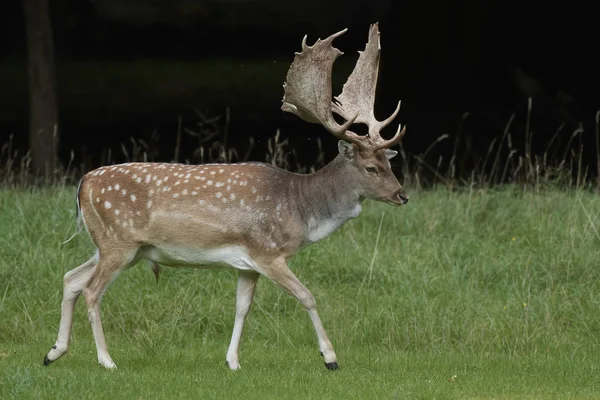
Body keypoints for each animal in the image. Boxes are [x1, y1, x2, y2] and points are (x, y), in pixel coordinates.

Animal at [42, 21, 408, 372]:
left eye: (389, 163)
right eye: (371, 168)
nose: (402, 195)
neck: (298, 207)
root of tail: (84, 182)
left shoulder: (248, 264)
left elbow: (242, 307)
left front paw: (232, 361)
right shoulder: (268, 252)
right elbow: (307, 296)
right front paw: (330, 357)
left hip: (117, 247)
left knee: (71, 278)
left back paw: (53, 352)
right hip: (118, 243)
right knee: (91, 291)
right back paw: (106, 360)